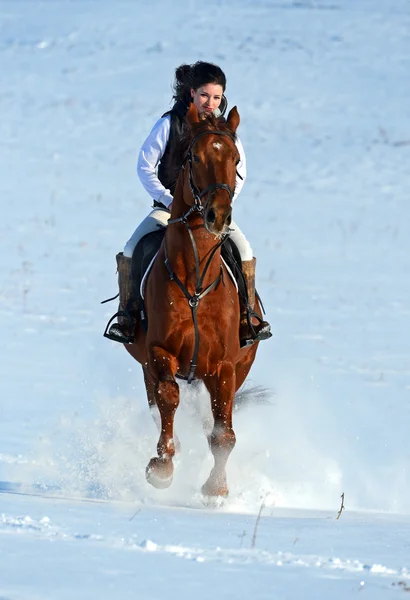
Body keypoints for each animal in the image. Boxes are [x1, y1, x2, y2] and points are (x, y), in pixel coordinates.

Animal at [125, 103, 262, 496]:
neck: (196, 285)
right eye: (194, 157)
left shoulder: (226, 366)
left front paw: (216, 489)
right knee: (159, 405)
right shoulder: (158, 352)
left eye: (235, 159)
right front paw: (161, 467)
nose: (218, 216)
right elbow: (169, 398)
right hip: (147, 365)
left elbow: (223, 434)